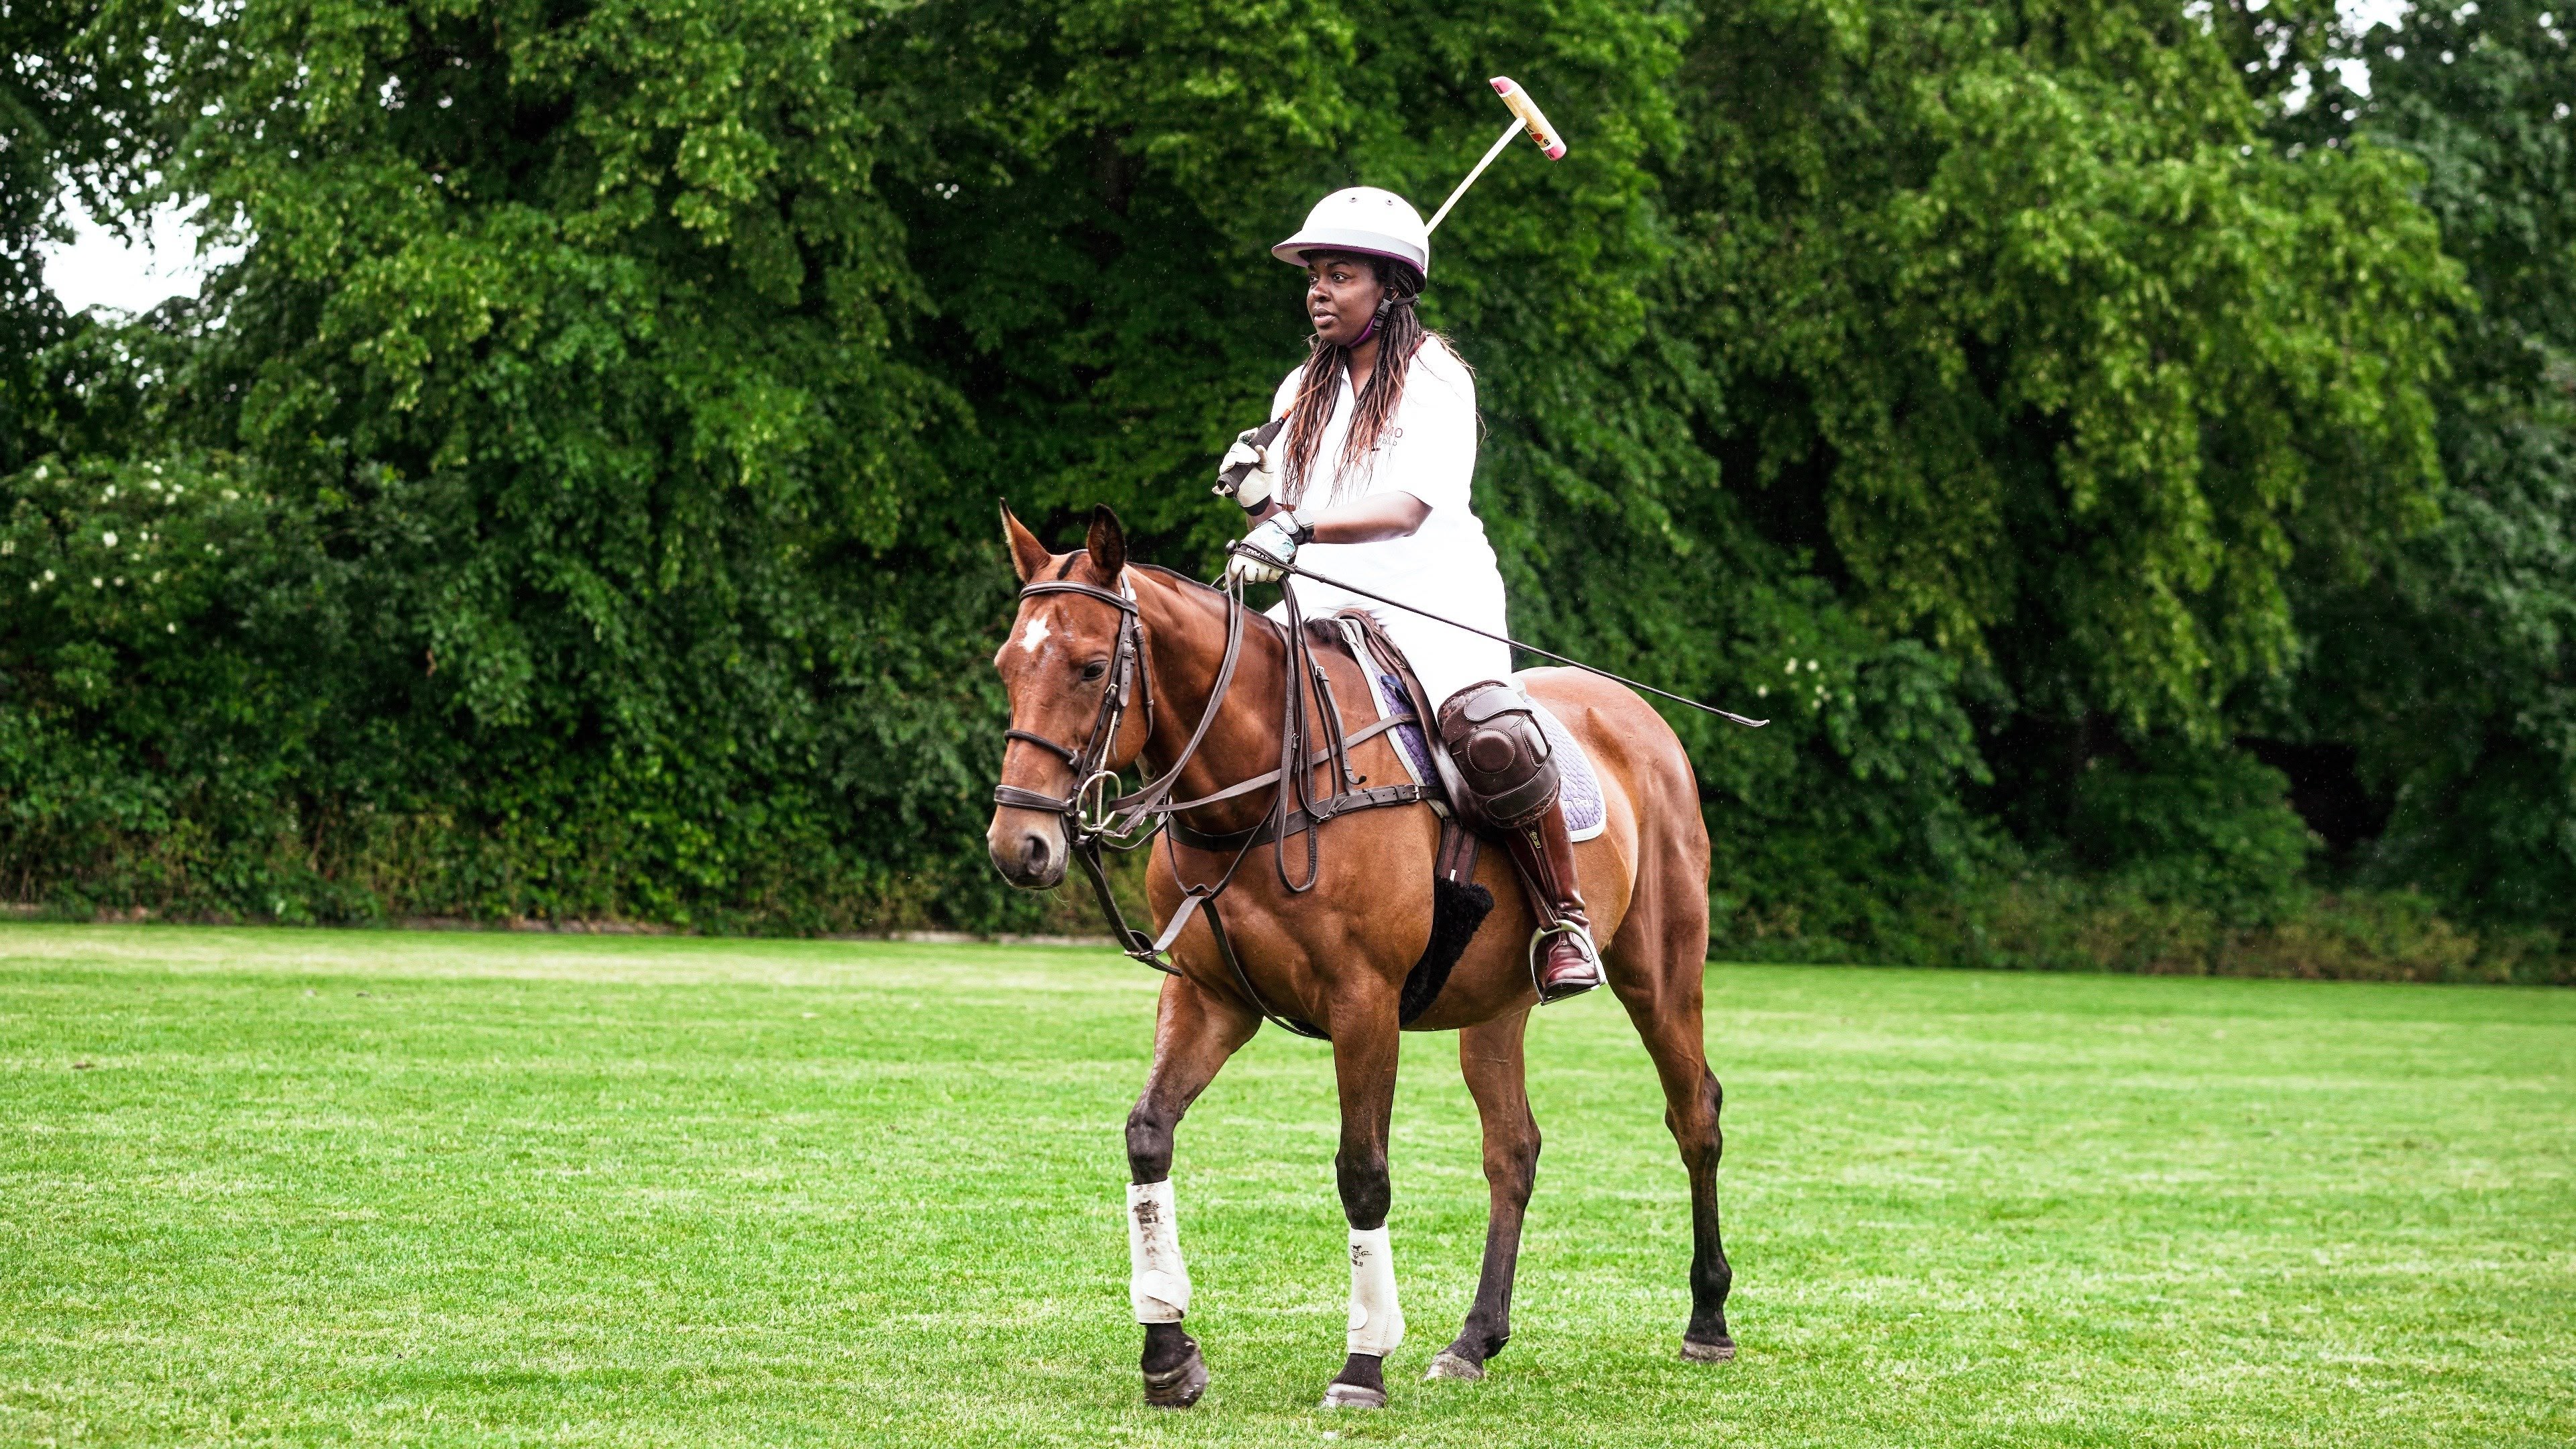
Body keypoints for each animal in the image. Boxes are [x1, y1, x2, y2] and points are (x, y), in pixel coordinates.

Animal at [983, 505, 1752, 1402]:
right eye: (1007, 666)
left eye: (1091, 666)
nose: (1020, 846)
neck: (1262, 790)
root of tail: (1639, 715)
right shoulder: (1212, 997)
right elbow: (1148, 1133)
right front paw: (1168, 1353)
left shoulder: (1365, 1001)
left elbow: (1364, 1172)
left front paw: (1362, 1364)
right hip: (1496, 1004)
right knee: (1513, 1149)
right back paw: (1475, 1339)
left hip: (1661, 966)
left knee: (1695, 1112)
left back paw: (1708, 1320)